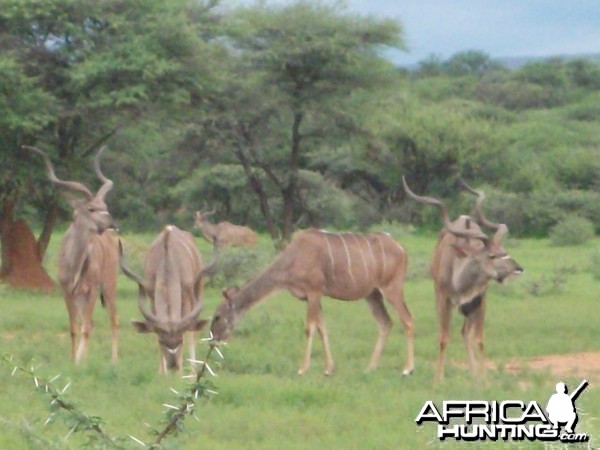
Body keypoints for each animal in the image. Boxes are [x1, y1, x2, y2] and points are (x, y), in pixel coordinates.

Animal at [25, 146, 119, 364]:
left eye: (105, 207)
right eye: (91, 208)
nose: (111, 223)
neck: (74, 264)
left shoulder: (91, 290)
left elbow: (85, 328)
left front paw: (79, 361)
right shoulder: (68, 291)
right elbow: (74, 328)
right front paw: (73, 360)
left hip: (109, 286)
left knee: (112, 320)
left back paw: (114, 360)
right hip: (83, 296)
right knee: (90, 322)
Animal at [119, 225, 216, 372]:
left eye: (180, 340)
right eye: (161, 341)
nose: (173, 365)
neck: (168, 260)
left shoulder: (186, 297)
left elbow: (188, 331)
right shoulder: (151, 296)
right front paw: (161, 372)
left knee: (192, 331)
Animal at [210, 229, 412, 376]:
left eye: (217, 316)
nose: (213, 339)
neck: (293, 258)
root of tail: (402, 248)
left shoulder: (314, 291)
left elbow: (309, 328)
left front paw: (302, 369)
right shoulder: (313, 297)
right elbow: (322, 328)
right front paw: (328, 369)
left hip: (391, 288)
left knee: (407, 319)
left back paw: (407, 369)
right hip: (372, 294)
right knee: (385, 322)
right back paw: (370, 368)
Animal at [404, 178, 524, 382]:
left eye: (504, 250)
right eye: (492, 255)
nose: (517, 268)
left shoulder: (479, 300)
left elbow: (478, 339)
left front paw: (483, 379)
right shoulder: (443, 299)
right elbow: (444, 338)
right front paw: (438, 379)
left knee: (466, 333)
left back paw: (474, 373)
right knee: (451, 332)